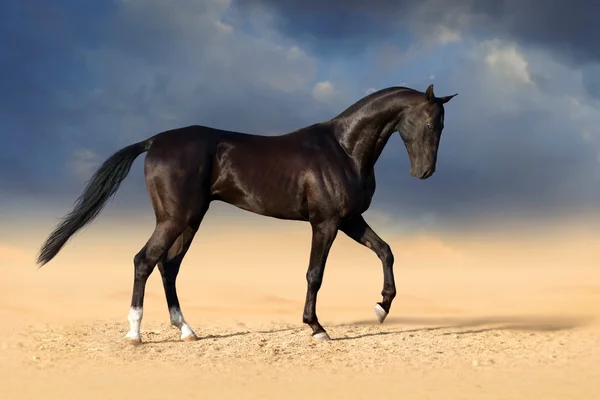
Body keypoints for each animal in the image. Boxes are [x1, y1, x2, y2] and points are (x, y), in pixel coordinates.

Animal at [37, 83, 458, 344]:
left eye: (443, 125)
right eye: (429, 122)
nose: (424, 172)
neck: (342, 148)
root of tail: (154, 141)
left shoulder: (350, 220)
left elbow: (386, 251)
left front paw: (381, 308)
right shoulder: (325, 223)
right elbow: (315, 274)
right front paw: (317, 328)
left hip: (190, 221)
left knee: (168, 266)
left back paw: (186, 330)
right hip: (173, 219)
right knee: (145, 260)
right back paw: (135, 333)